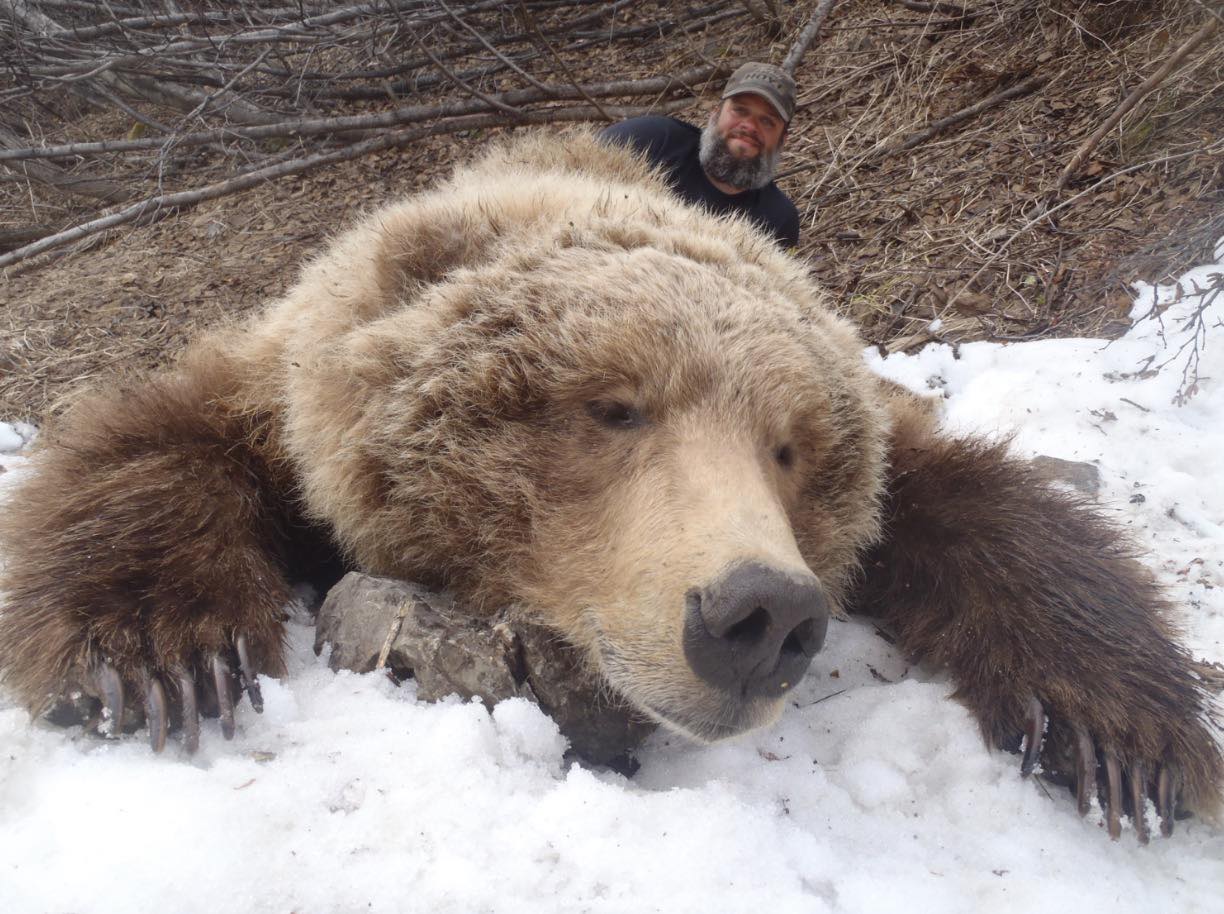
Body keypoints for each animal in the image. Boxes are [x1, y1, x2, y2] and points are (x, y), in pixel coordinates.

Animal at [0, 130, 1219, 844]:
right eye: (614, 405)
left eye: (790, 447)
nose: (761, 612)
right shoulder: (283, 381)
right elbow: (154, 439)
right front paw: (157, 656)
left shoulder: (892, 446)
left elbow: (989, 506)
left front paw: (1120, 737)